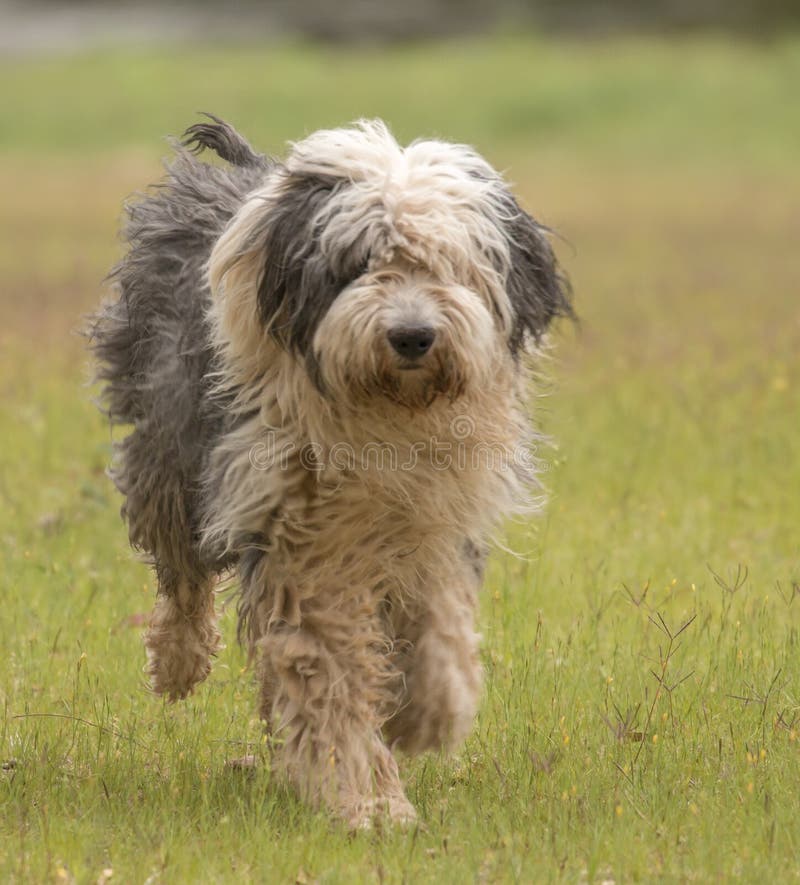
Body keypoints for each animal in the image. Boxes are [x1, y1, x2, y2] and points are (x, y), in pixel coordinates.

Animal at [90, 117, 572, 828]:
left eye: (445, 263)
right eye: (360, 262)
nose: (412, 336)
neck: (385, 415)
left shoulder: (435, 516)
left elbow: (441, 620)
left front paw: (427, 714)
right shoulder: (299, 532)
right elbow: (328, 668)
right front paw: (362, 801)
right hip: (169, 443)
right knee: (180, 568)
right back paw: (178, 661)